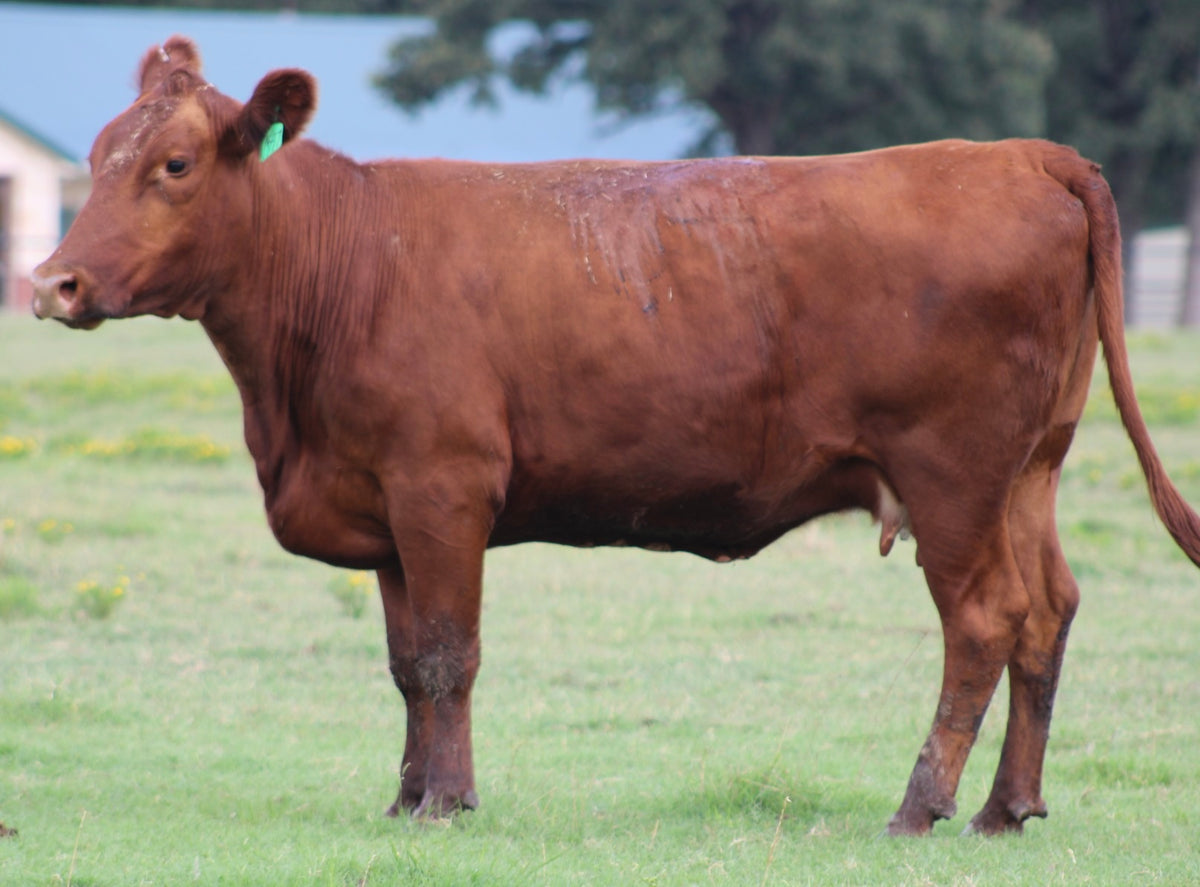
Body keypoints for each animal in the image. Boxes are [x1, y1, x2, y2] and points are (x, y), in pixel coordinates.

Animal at [32, 37, 1200, 836]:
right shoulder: (386, 509)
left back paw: (921, 806)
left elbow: (450, 655)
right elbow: (407, 663)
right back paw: (1009, 806)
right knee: (1048, 610)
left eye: (176, 164)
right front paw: (406, 796)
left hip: (953, 477)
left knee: (986, 620)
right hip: (1031, 471)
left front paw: (449, 800)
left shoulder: (442, 487)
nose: (53, 283)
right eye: (95, 155)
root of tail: (1024, 154)